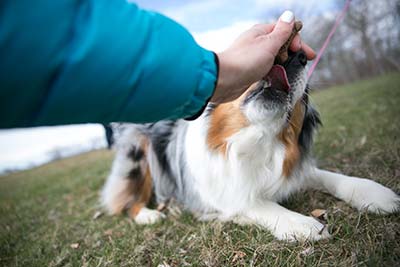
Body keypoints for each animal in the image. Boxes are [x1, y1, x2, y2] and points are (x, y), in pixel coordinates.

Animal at [101, 50, 400, 243]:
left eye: (305, 96)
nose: (298, 57)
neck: (256, 140)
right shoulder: (221, 191)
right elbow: (254, 203)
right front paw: (302, 223)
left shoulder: (292, 169)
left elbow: (331, 177)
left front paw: (375, 193)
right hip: (139, 155)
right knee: (129, 201)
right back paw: (149, 215)